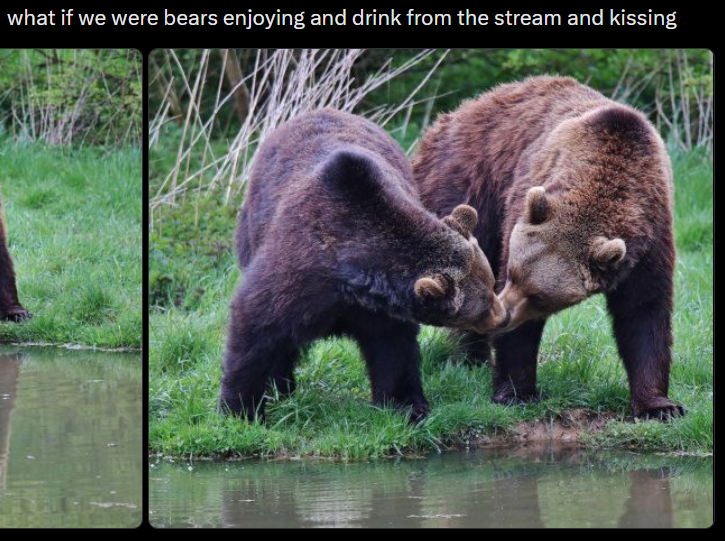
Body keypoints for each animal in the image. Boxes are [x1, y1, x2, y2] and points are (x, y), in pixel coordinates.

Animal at [219, 108, 508, 423]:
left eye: (491, 282)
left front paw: (407, 405)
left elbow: (392, 348)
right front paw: (240, 409)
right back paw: (281, 387)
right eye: (483, 302)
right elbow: (257, 324)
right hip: (251, 228)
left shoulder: (381, 309)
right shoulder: (297, 270)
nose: (503, 316)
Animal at [413, 76, 684, 420]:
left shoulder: (651, 237)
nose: (504, 315)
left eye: (539, 295)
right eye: (511, 274)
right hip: (467, 185)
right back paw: (473, 355)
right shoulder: (522, 198)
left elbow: (644, 311)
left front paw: (660, 405)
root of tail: (457, 111)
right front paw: (516, 392)